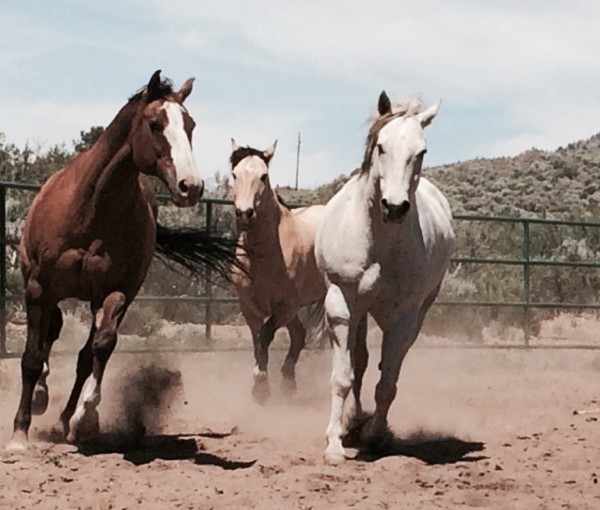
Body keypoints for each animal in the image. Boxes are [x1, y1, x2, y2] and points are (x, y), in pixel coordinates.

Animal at [8, 68, 239, 450]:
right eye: (155, 124)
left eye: (190, 125)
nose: (191, 186)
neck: (90, 210)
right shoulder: (39, 288)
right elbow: (30, 358)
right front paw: (19, 432)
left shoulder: (116, 292)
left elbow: (101, 347)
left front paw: (85, 419)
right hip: (44, 289)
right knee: (50, 333)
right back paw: (40, 398)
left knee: (81, 353)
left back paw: (64, 418)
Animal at [230, 139, 326, 402]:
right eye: (234, 175)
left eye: (263, 176)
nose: (244, 214)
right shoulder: (249, 306)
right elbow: (257, 340)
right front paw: (261, 385)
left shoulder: (285, 305)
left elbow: (265, 335)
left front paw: (261, 385)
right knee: (299, 334)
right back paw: (288, 384)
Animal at [314, 90, 454, 462]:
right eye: (380, 146)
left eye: (421, 152)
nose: (394, 206)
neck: (379, 242)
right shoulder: (341, 305)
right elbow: (343, 376)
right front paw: (334, 443)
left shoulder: (404, 316)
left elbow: (387, 384)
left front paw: (376, 435)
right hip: (360, 312)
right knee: (360, 364)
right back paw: (351, 422)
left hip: (413, 316)